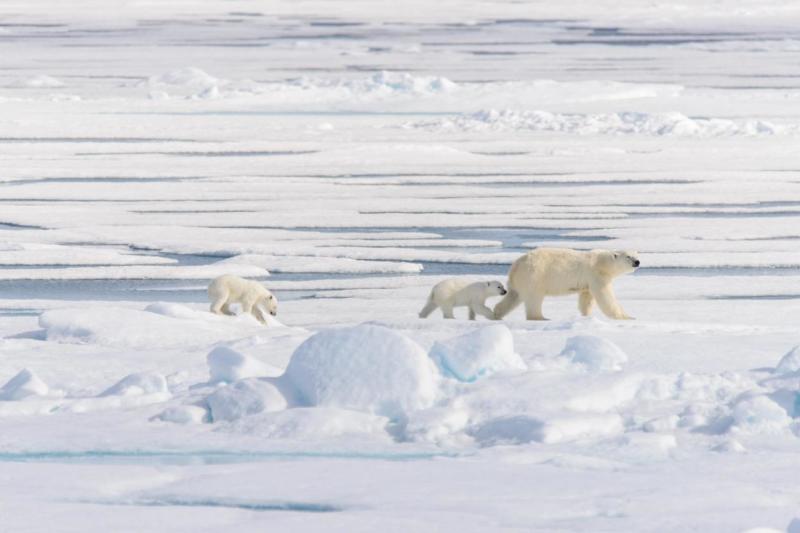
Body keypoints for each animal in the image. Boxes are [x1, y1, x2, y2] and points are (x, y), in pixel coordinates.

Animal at [490, 246, 640, 318]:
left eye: (636, 255)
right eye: (628, 256)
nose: (637, 262)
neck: (603, 262)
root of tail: (515, 266)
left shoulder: (588, 281)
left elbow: (586, 298)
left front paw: (586, 315)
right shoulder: (597, 275)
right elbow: (605, 297)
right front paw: (626, 317)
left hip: (520, 281)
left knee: (514, 296)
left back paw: (497, 314)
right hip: (535, 275)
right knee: (534, 298)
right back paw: (541, 317)